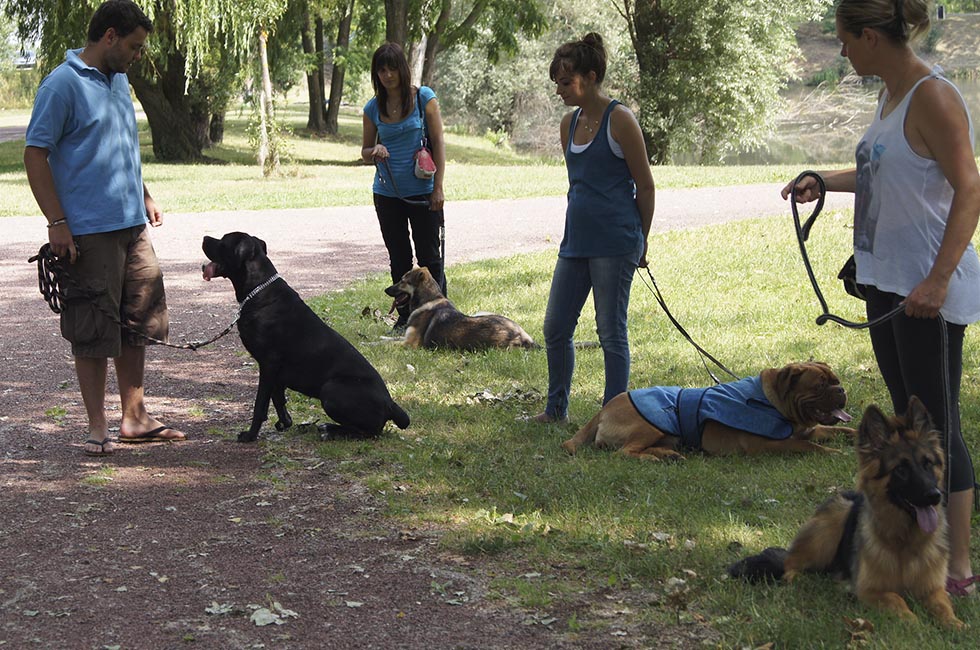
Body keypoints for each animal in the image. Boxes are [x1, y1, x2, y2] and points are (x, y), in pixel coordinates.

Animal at [564, 360, 852, 460]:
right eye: (819, 386)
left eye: (836, 380)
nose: (841, 390)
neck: (774, 402)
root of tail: (603, 409)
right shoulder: (766, 444)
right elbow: (807, 446)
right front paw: (832, 452)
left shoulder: (808, 430)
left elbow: (841, 430)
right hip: (652, 422)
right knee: (625, 452)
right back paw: (654, 457)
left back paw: (668, 454)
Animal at [732, 398, 960, 624]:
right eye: (901, 470)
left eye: (927, 464)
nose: (935, 495)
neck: (906, 541)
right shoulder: (869, 591)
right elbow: (897, 600)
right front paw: (915, 623)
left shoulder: (934, 589)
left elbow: (943, 606)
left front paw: (954, 625)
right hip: (833, 521)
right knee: (790, 564)